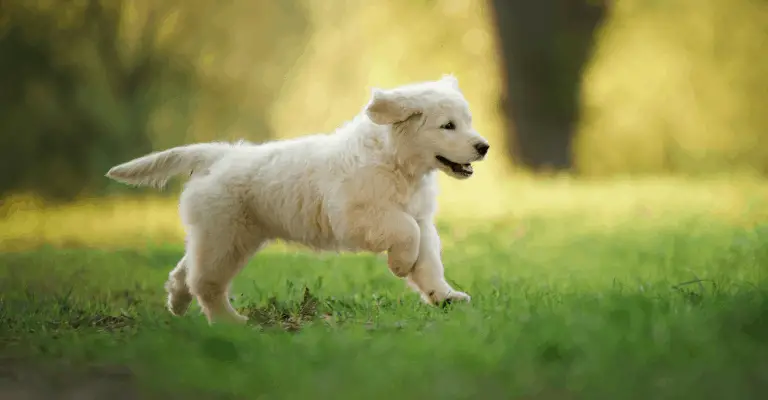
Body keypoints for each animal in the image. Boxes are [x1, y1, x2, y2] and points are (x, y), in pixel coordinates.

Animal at [105, 76, 488, 324]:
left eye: (467, 121)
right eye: (448, 126)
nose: (484, 146)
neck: (397, 162)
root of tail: (219, 155)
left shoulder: (421, 218)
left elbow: (428, 260)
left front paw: (444, 297)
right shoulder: (361, 214)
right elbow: (407, 233)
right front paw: (400, 265)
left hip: (223, 236)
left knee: (186, 271)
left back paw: (178, 302)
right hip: (225, 236)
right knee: (205, 282)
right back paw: (229, 322)